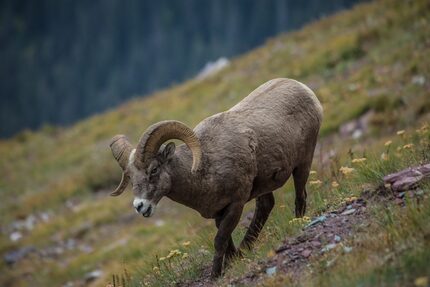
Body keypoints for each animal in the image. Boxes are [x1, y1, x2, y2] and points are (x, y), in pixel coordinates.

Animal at [109, 79, 320, 280]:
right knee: (265, 206)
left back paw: (297, 222)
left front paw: (216, 274)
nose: (140, 206)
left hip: (303, 163)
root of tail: (302, 88)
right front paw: (235, 260)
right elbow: (227, 241)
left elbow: (219, 241)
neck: (205, 172)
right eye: (131, 177)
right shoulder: (219, 212)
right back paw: (246, 247)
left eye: (154, 169)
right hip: (266, 184)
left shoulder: (236, 204)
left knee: (300, 195)